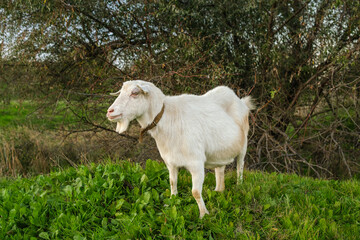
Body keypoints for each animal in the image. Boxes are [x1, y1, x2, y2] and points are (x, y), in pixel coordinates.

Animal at [105, 80, 255, 218]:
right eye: (120, 92)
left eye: (135, 92)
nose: (110, 111)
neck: (168, 118)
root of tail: (241, 101)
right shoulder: (171, 162)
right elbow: (172, 183)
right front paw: (172, 202)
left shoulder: (196, 163)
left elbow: (195, 192)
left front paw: (203, 215)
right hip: (220, 152)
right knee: (220, 169)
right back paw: (218, 190)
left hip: (244, 145)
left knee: (240, 167)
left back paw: (239, 186)